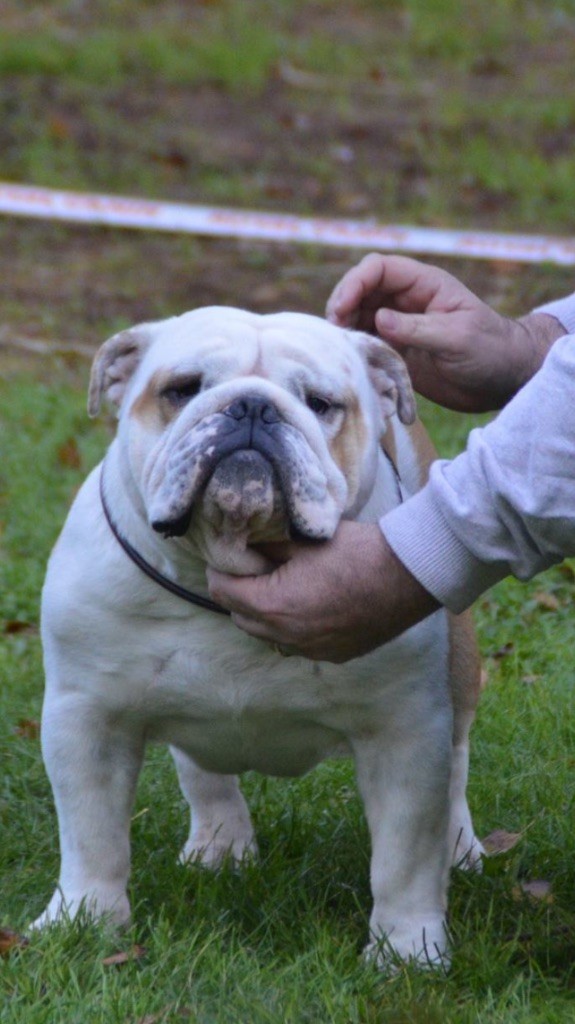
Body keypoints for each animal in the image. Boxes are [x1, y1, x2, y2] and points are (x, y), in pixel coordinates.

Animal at [36, 306, 482, 967]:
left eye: (320, 403)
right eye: (181, 389)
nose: (251, 407)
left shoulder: (403, 732)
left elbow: (405, 858)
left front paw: (407, 951)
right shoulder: (86, 718)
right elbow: (92, 835)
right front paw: (84, 919)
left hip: (460, 666)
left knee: (455, 766)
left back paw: (463, 847)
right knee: (203, 772)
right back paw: (220, 846)